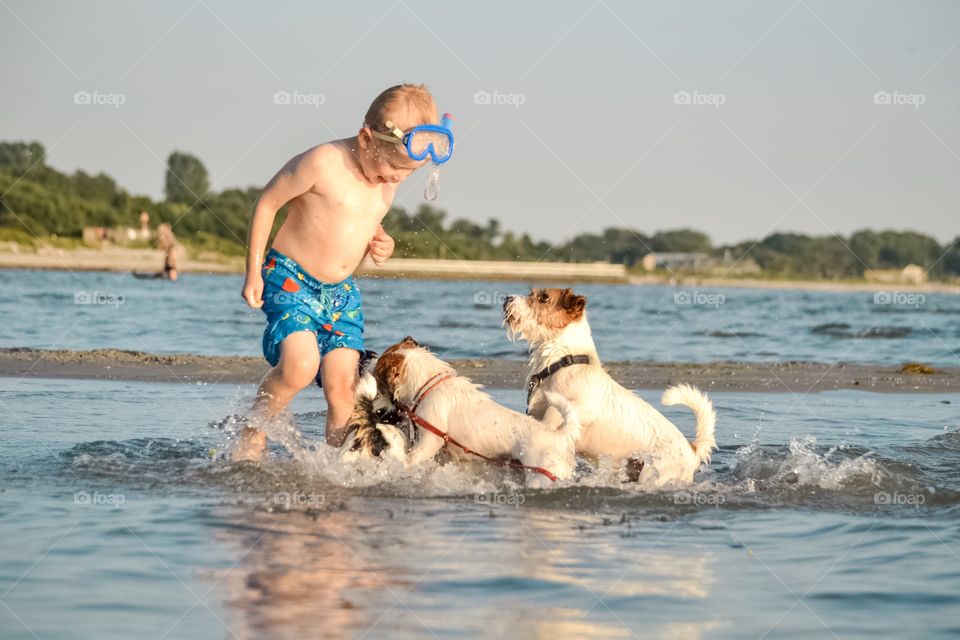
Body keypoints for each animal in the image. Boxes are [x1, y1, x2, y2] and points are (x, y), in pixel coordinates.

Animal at [372, 338, 580, 488]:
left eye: (376, 377)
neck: (428, 385)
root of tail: (562, 435)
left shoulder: (429, 442)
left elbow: (405, 457)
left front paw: (390, 433)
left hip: (541, 475)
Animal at [506, 288, 716, 488]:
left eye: (544, 298)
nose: (507, 299)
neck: (563, 361)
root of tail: (692, 451)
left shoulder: (580, 407)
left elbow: (556, 413)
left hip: (654, 474)